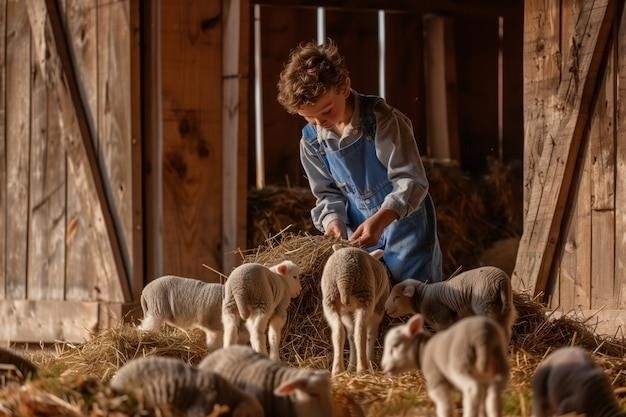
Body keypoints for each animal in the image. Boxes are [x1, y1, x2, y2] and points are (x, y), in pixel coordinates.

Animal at [320, 244, 388, 374]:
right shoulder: (377, 311)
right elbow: (371, 335)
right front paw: (370, 361)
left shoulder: (346, 314)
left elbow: (350, 336)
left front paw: (351, 366)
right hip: (365, 297)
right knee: (360, 333)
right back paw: (362, 368)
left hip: (330, 299)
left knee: (339, 333)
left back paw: (338, 370)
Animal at [380, 314, 508, 416]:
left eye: (395, 345)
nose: (383, 366)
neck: (423, 350)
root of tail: (482, 336)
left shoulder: (436, 379)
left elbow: (445, 407)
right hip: (499, 365)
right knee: (494, 394)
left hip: (460, 363)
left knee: (472, 389)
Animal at [382, 264, 516, 340]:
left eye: (397, 297)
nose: (386, 309)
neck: (422, 297)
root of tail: (501, 281)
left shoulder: (442, 318)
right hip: (505, 308)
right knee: (506, 329)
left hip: (485, 305)